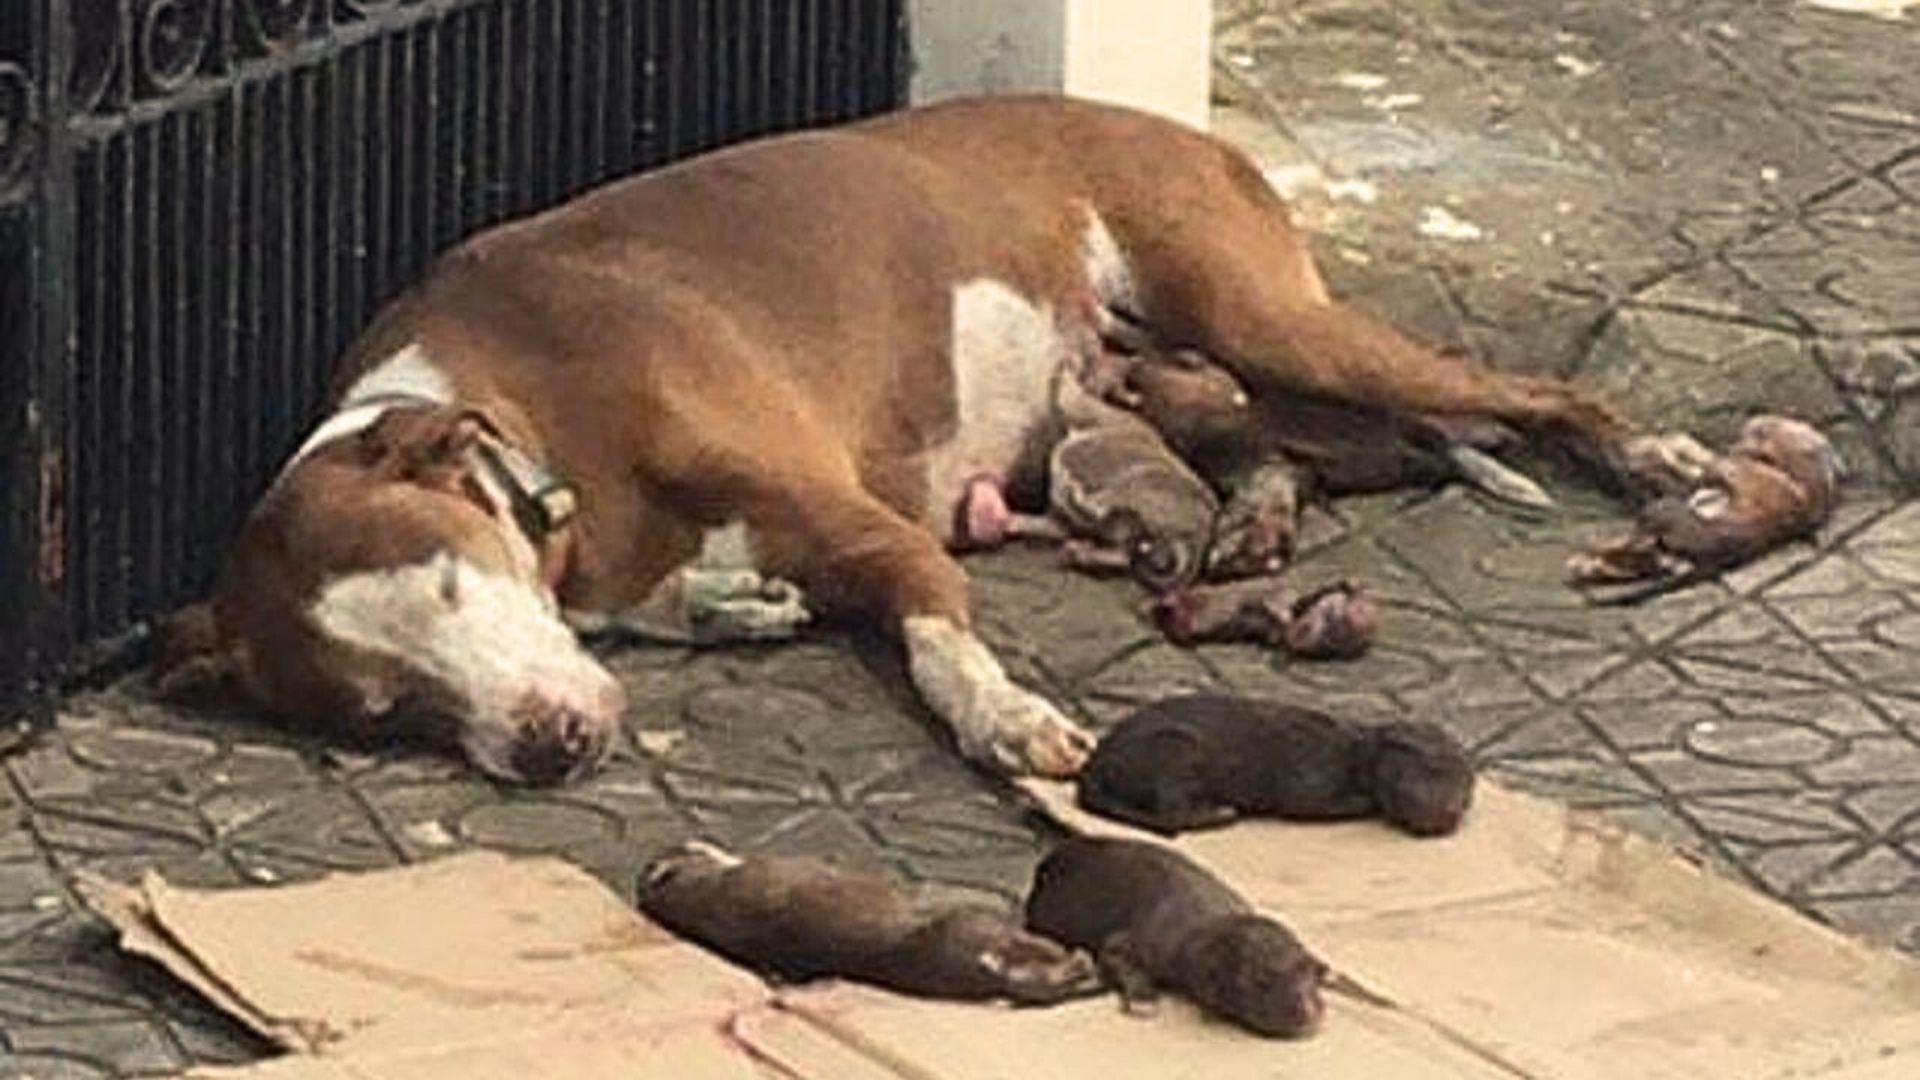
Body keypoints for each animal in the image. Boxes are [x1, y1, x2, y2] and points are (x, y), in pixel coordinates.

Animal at [153, 96, 1635, 780]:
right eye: (385, 714)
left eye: (458, 588)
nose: (549, 744)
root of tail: (1189, 134)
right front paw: (742, 609)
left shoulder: (871, 530)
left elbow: (938, 638)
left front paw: (1009, 718)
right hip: (1218, 374)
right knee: (1293, 447)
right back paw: (1260, 522)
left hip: (1266, 315)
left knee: (1531, 397)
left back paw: (1653, 471)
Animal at [641, 841, 1105, 999]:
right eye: (683, 851)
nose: (690, 838)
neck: (709, 892)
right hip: (981, 925)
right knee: (1042, 958)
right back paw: (1080, 960)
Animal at [1029, 834, 1328, 1037]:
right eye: (1260, 981)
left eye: (1309, 971)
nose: (1309, 1012)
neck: (1211, 920)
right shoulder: (1137, 940)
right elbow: (1118, 954)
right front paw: (1143, 999)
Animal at [1082, 691, 1466, 837]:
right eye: (1419, 780)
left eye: (1463, 793)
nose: (1446, 813)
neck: (1352, 754)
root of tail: (1094, 765)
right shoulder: (1309, 777)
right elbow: (1308, 804)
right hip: (1173, 748)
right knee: (1170, 812)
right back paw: (1217, 813)